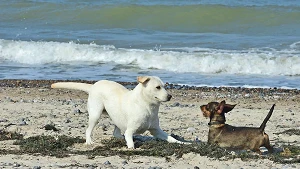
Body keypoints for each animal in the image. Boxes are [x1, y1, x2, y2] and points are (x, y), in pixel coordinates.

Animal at [50, 76, 184, 149]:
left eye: (164, 86)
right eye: (157, 87)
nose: (170, 96)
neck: (148, 106)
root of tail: (93, 85)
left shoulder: (156, 130)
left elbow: (171, 138)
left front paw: (181, 142)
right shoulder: (130, 130)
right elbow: (130, 139)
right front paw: (131, 146)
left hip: (115, 116)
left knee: (116, 132)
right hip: (95, 114)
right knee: (88, 130)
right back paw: (89, 141)